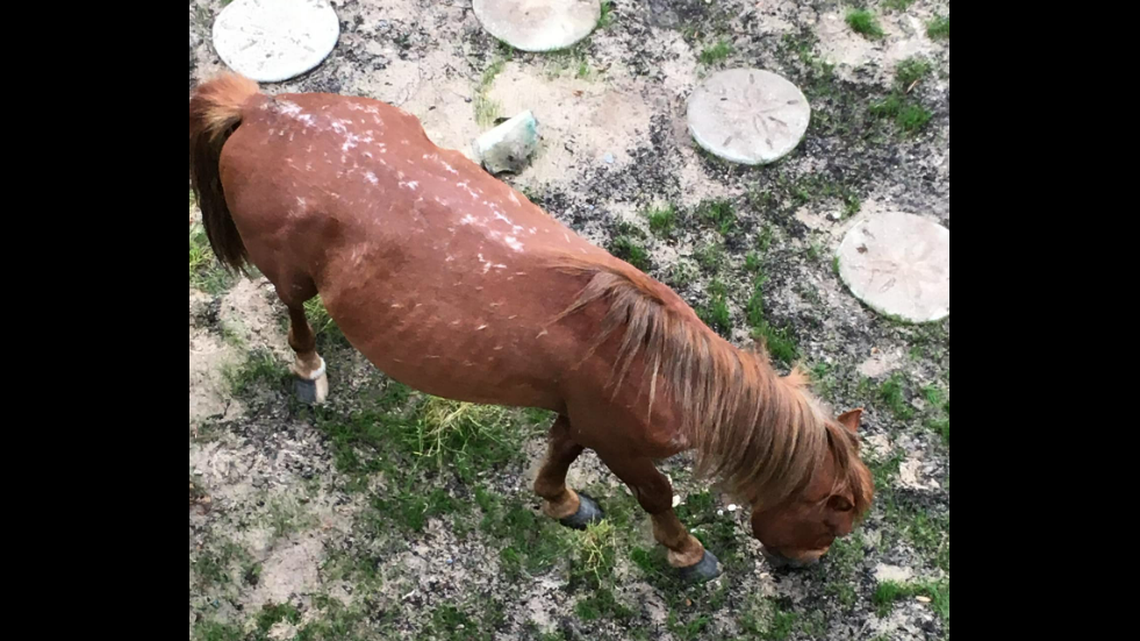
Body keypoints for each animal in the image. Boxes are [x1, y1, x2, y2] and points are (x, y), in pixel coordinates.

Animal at [189, 73, 874, 581]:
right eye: (832, 520)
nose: (807, 565)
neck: (659, 368)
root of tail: (261, 107)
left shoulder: (579, 418)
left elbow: (558, 456)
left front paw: (562, 504)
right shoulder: (620, 444)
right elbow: (657, 493)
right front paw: (687, 553)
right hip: (292, 277)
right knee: (294, 313)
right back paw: (309, 371)